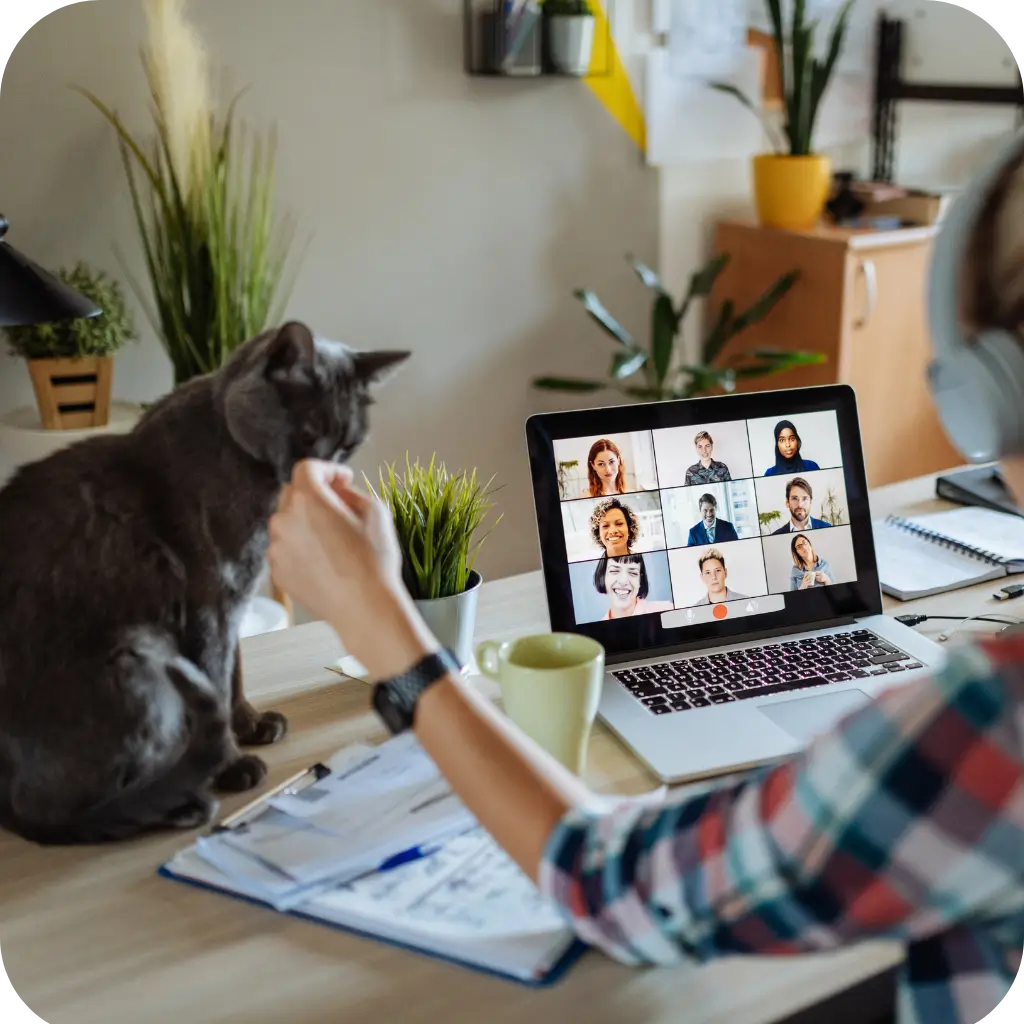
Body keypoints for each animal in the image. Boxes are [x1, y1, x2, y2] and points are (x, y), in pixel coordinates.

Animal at [0, 323, 407, 843]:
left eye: (348, 444)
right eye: (307, 433)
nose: (325, 469)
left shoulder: (234, 600)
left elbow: (234, 672)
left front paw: (252, 723)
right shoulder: (209, 600)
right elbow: (214, 675)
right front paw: (234, 765)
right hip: (138, 656)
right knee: (60, 812)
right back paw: (183, 800)